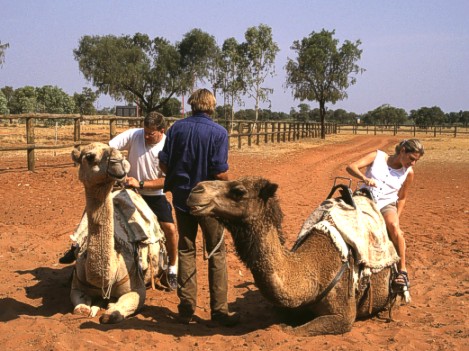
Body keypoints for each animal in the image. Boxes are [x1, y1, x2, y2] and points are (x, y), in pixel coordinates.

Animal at [69, 142, 165, 324]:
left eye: (117, 153)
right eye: (90, 156)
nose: (119, 161)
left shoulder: (137, 287)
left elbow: (112, 315)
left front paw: (109, 307)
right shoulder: (77, 285)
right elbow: (80, 309)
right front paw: (91, 308)